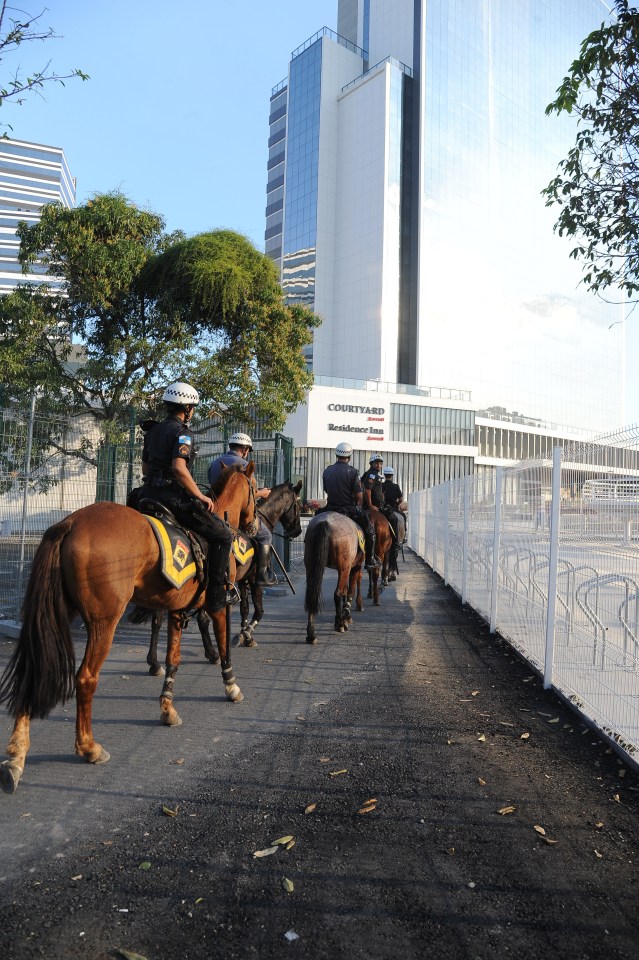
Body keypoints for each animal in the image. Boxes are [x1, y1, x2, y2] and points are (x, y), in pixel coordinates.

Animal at [0, 464, 258, 796]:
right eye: (255, 488)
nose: (253, 526)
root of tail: (70, 522)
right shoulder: (218, 606)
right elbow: (225, 646)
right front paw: (231, 686)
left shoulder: (176, 610)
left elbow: (173, 659)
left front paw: (167, 708)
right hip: (104, 621)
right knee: (85, 678)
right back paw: (89, 747)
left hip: (57, 613)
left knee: (34, 671)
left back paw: (16, 757)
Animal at [145, 476, 304, 672]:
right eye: (298, 505)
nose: (297, 531)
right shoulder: (253, 580)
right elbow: (258, 611)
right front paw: (246, 633)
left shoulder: (242, 581)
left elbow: (244, 609)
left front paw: (244, 635)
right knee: (199, 618)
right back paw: (212, 654)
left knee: (158, 619)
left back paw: (155, 662)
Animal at [302, 510, 362, 644]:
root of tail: (325, 522)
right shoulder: (354, 567)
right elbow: (349, 592)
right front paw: (345, 618)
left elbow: (346, 591)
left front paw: (343, 618)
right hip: (344, 568)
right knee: (338, 594)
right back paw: (340, 624)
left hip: (311, 566)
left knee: (312, 595)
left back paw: (311, 634)